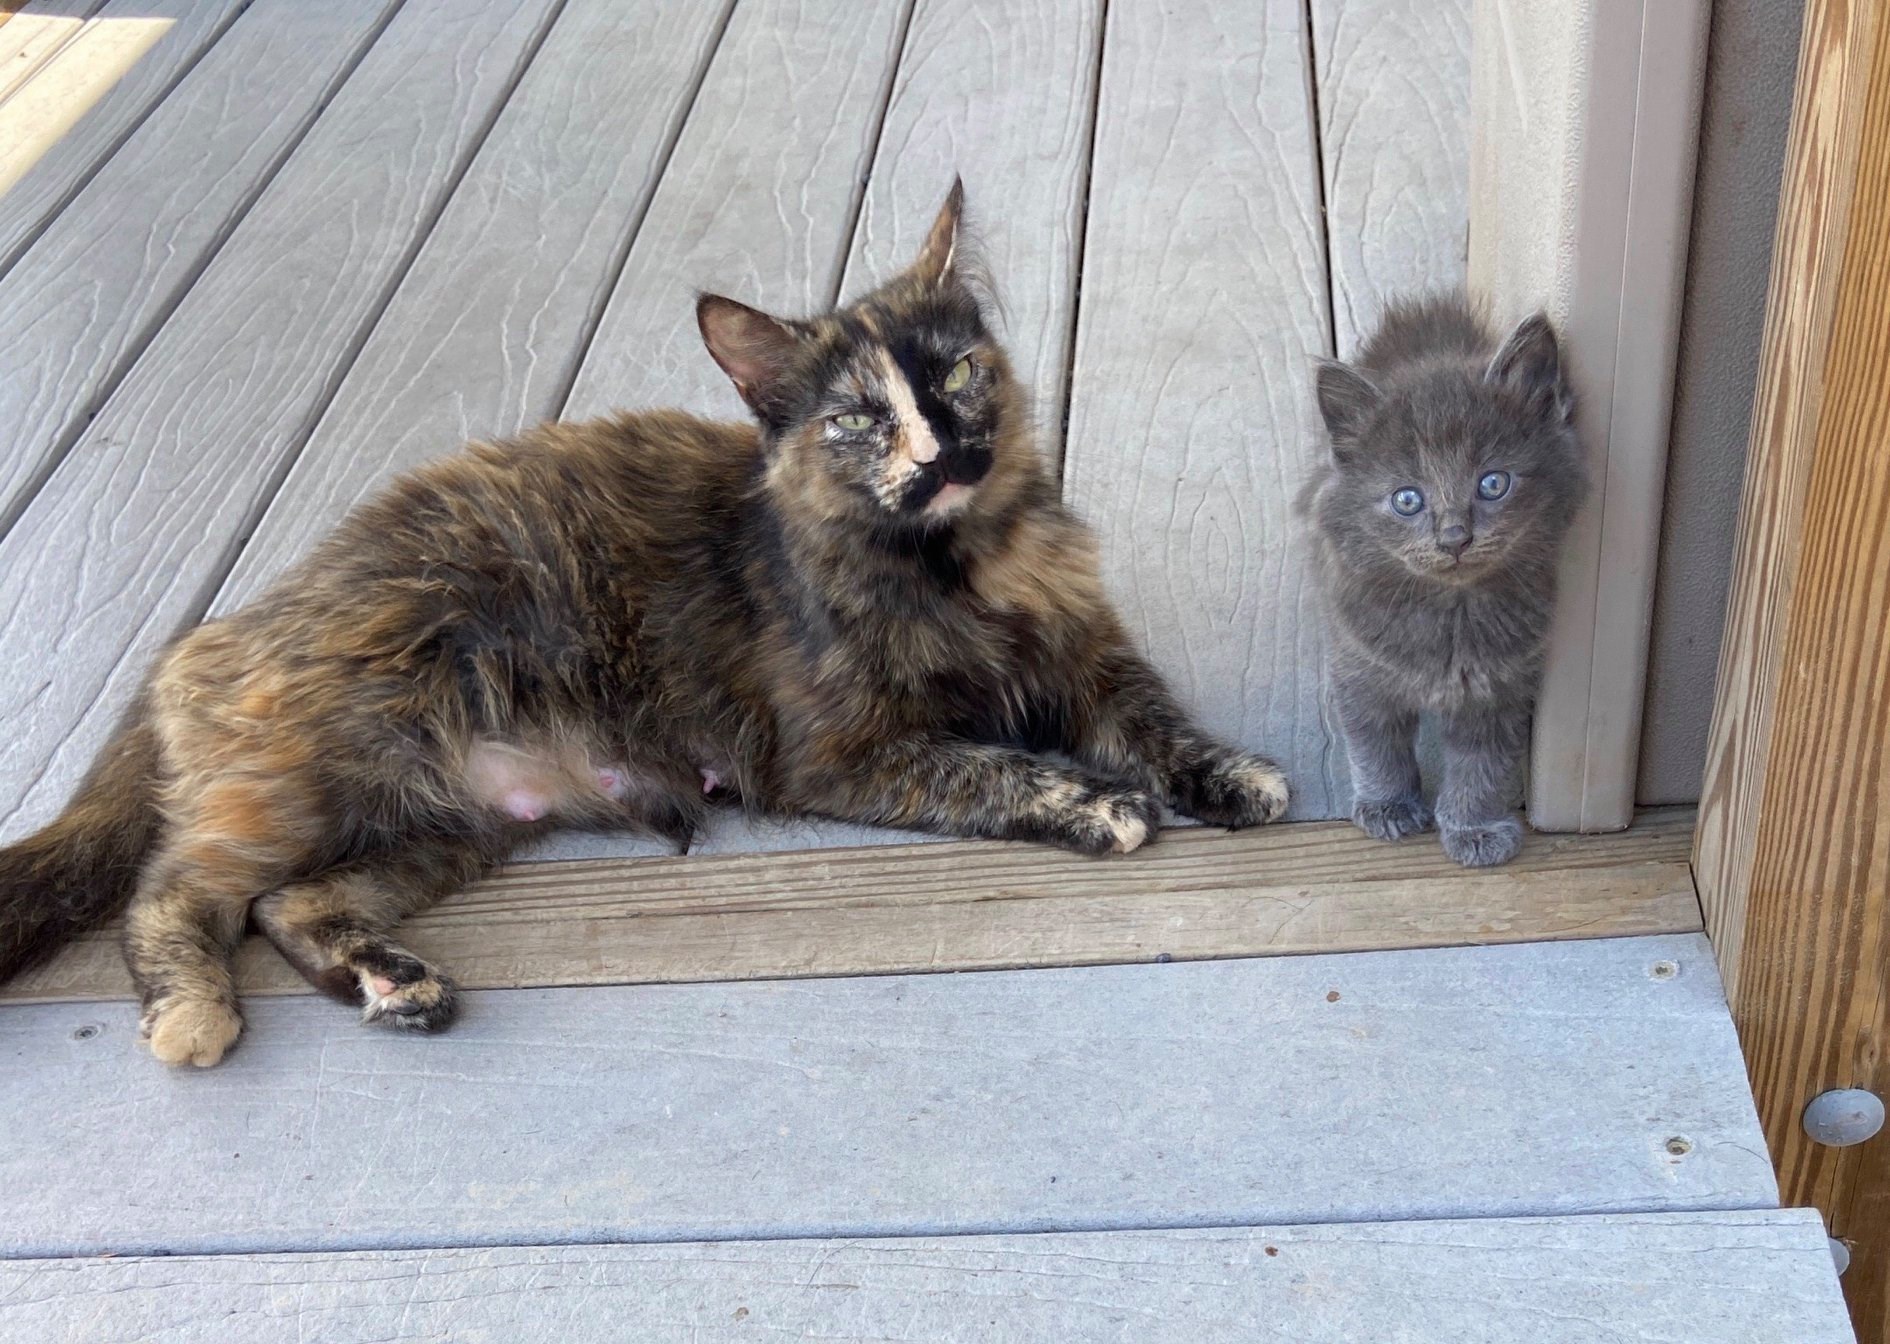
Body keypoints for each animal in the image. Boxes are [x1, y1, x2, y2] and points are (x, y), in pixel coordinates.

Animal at [0, 184, 1285, 1066]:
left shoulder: (1087, 657)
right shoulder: (846, 756)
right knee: (178, 888)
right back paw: (194, 1014)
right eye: (858, 420)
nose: (946, 453)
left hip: (442, 823)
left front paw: (1226, 774)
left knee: (288, 905)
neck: (959, 570)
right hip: (341, 764)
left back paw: (396, 986)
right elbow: (999, 765)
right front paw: (1101, 804)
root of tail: (219, 623)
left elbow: (1155, 719)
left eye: (960, 372)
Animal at [1300, 294, 1580, 873]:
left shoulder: (1499, 692)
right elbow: (1375, 747)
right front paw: (1387, 807)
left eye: (1493, 484)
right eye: (1408, 499)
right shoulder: (1358, 669)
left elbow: (1481, 768)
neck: (1453, 615)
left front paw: (1473, 829)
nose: (1455, 537)